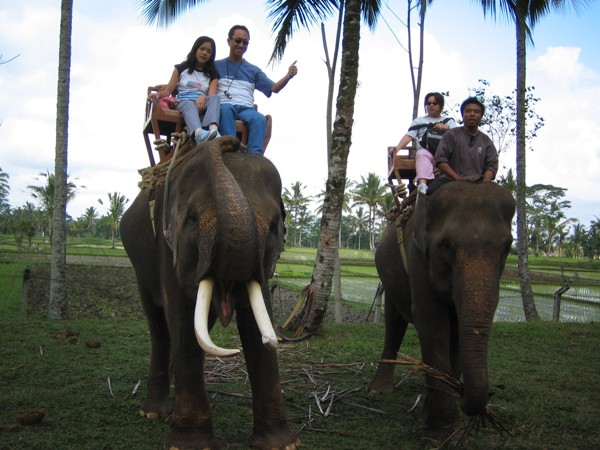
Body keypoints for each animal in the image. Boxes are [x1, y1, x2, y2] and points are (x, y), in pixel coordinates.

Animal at [120, 136, 299, 450]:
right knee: (160, 328)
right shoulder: (168, 247)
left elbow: (256, 325)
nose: (231, 141)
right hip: (140, 265)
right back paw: (155, 412)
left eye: (274, 226)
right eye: (192, 218)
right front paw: (191, 444)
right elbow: (182, 321)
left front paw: (282, 444)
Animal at [368, 181, 516, 443]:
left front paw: (434, 421)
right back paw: (379, 390)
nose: (464, 392)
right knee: (394, 323)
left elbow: (456, 331)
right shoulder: (418, 255)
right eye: (446, 245)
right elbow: (432, 321)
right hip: (390, 279)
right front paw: (441, 434)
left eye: (507, 247)